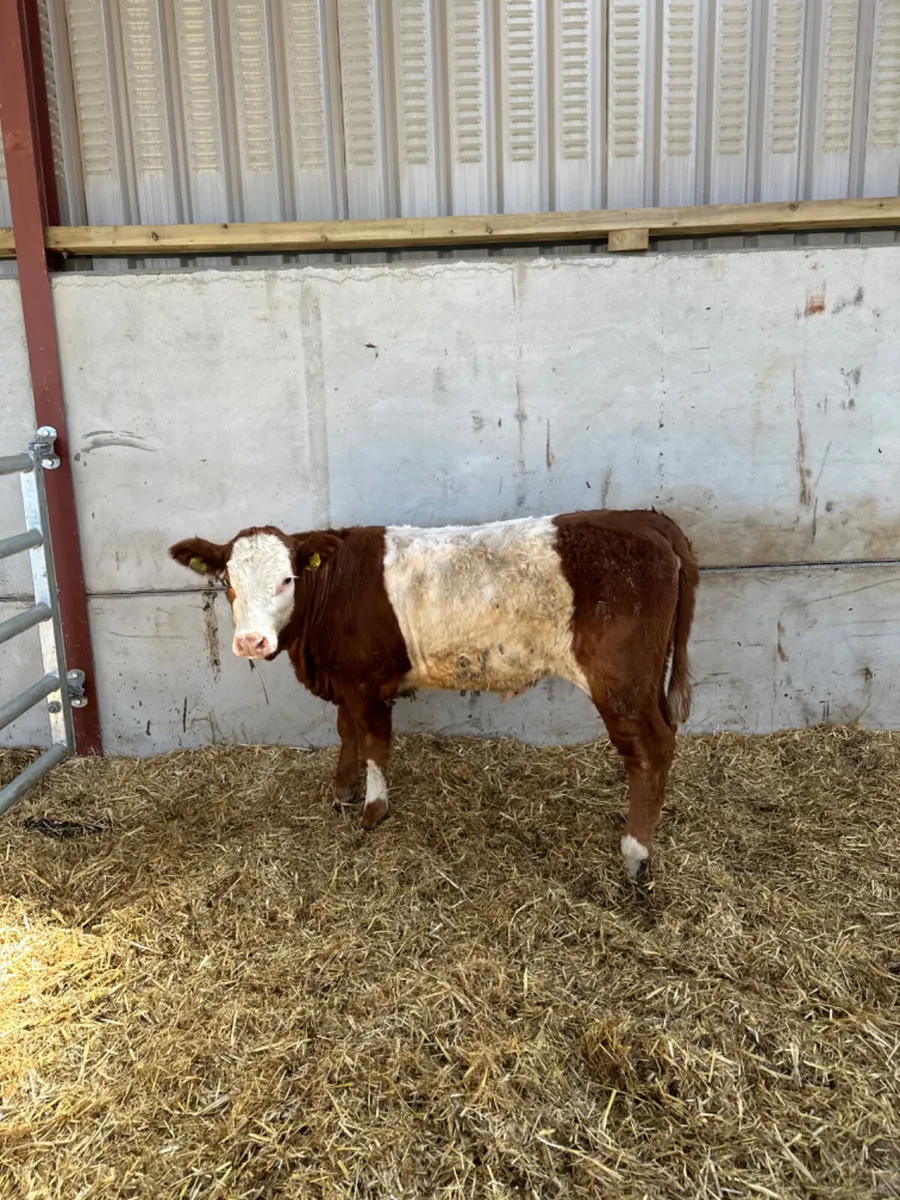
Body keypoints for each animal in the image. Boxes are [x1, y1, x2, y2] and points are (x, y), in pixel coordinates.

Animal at [169, 509, 698, 878]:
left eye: (287, 579)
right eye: (228, 583)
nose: (251, 642)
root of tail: (643, 518)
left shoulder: (366, 683)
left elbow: (374, 743)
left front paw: (372, 811)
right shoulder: (345, 682)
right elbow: (347, 734)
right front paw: (341, 793)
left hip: (621, 682)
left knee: (650, 751)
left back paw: (635, 855)